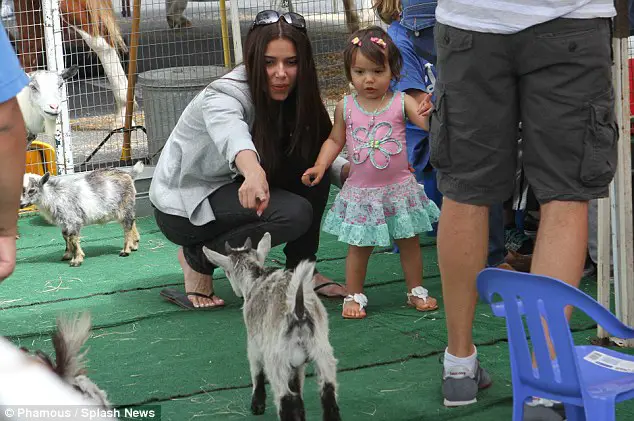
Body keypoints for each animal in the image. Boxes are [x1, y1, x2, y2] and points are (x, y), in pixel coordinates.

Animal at [202, 233, 340, 420]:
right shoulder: (297, 365)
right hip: (322, 353)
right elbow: (297, 390)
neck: (255, 278)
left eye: (226, 271)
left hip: (277, 360)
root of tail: (298, 311)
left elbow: (256, 371)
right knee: (328, 394)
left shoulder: (253, 342)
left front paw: (257, 404)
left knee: (285, 398)